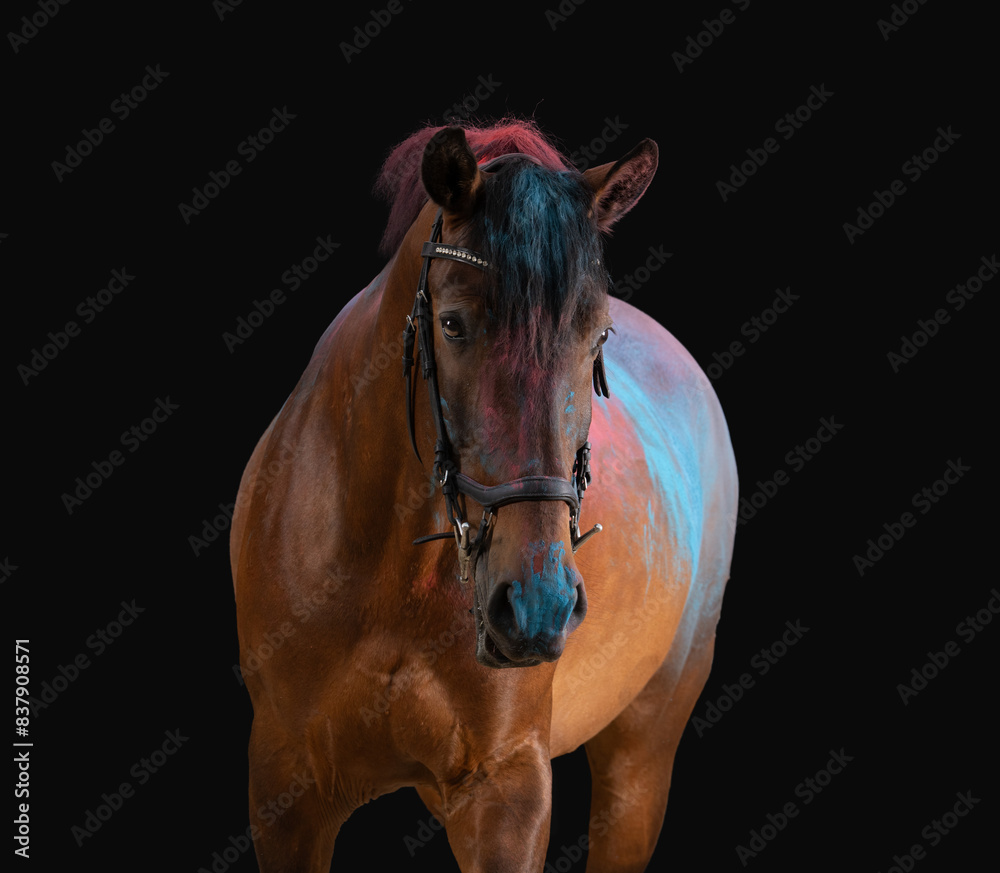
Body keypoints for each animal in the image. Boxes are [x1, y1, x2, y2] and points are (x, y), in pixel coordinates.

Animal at [231, 119, 737, 872]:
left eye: (597, 335)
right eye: (452, 323)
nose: (537, 606)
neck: (389, 571)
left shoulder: (504, 790)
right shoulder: (285, 790)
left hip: (640, 755)